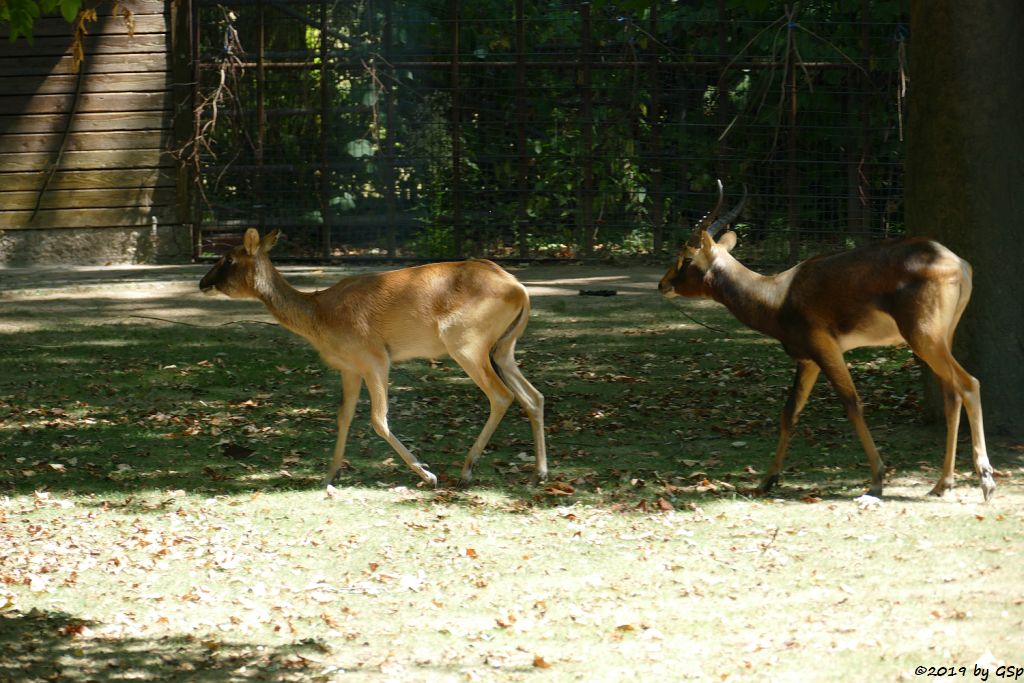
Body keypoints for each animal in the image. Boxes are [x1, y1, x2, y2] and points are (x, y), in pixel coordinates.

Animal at [197, 231, 544, 491]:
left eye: (228, 259)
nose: (202, 283)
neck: (319, 314)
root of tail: (520, 290)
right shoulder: (349, 368)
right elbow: (344, 415)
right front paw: (329, 475)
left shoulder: (375, 359)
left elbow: (379, 418)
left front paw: (427, 474)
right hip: (502, 349)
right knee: (533, 396)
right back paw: (539, 473)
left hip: (467, 345)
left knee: (502, 396)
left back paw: (466, 471)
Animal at [659, 181, 995, 501]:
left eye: (685, 257)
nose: (662, 284)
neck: (778, 296)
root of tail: (958, 263)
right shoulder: (808, 360)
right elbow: (790, 413)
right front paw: (767, 480)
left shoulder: (827, 350)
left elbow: (852, 404)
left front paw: (877, 480)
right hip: (940, 341)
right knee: (952, 396)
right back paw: (942, 484)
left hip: (925, 340)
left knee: (969, 384)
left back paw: (986, 482)